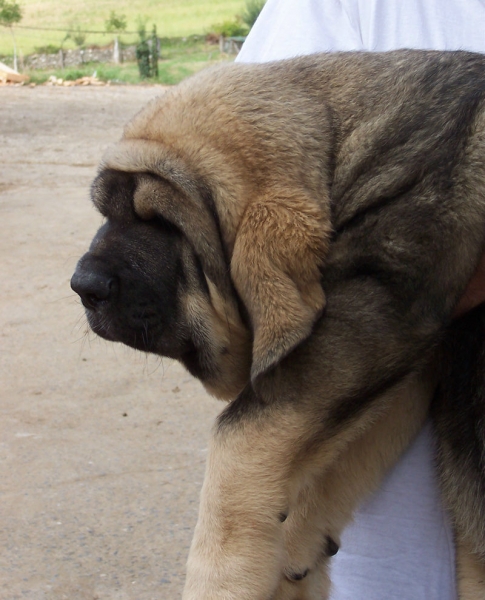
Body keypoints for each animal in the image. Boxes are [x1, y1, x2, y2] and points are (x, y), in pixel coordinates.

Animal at [70, 52, 484, 600]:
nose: (82, 286)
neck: (344, 155)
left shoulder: (375, 307)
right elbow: (344, 451)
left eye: (162, 224)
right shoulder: (407, 353)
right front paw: (296, 543)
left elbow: (239, 435)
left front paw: (221, 576)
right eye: (105, 214)